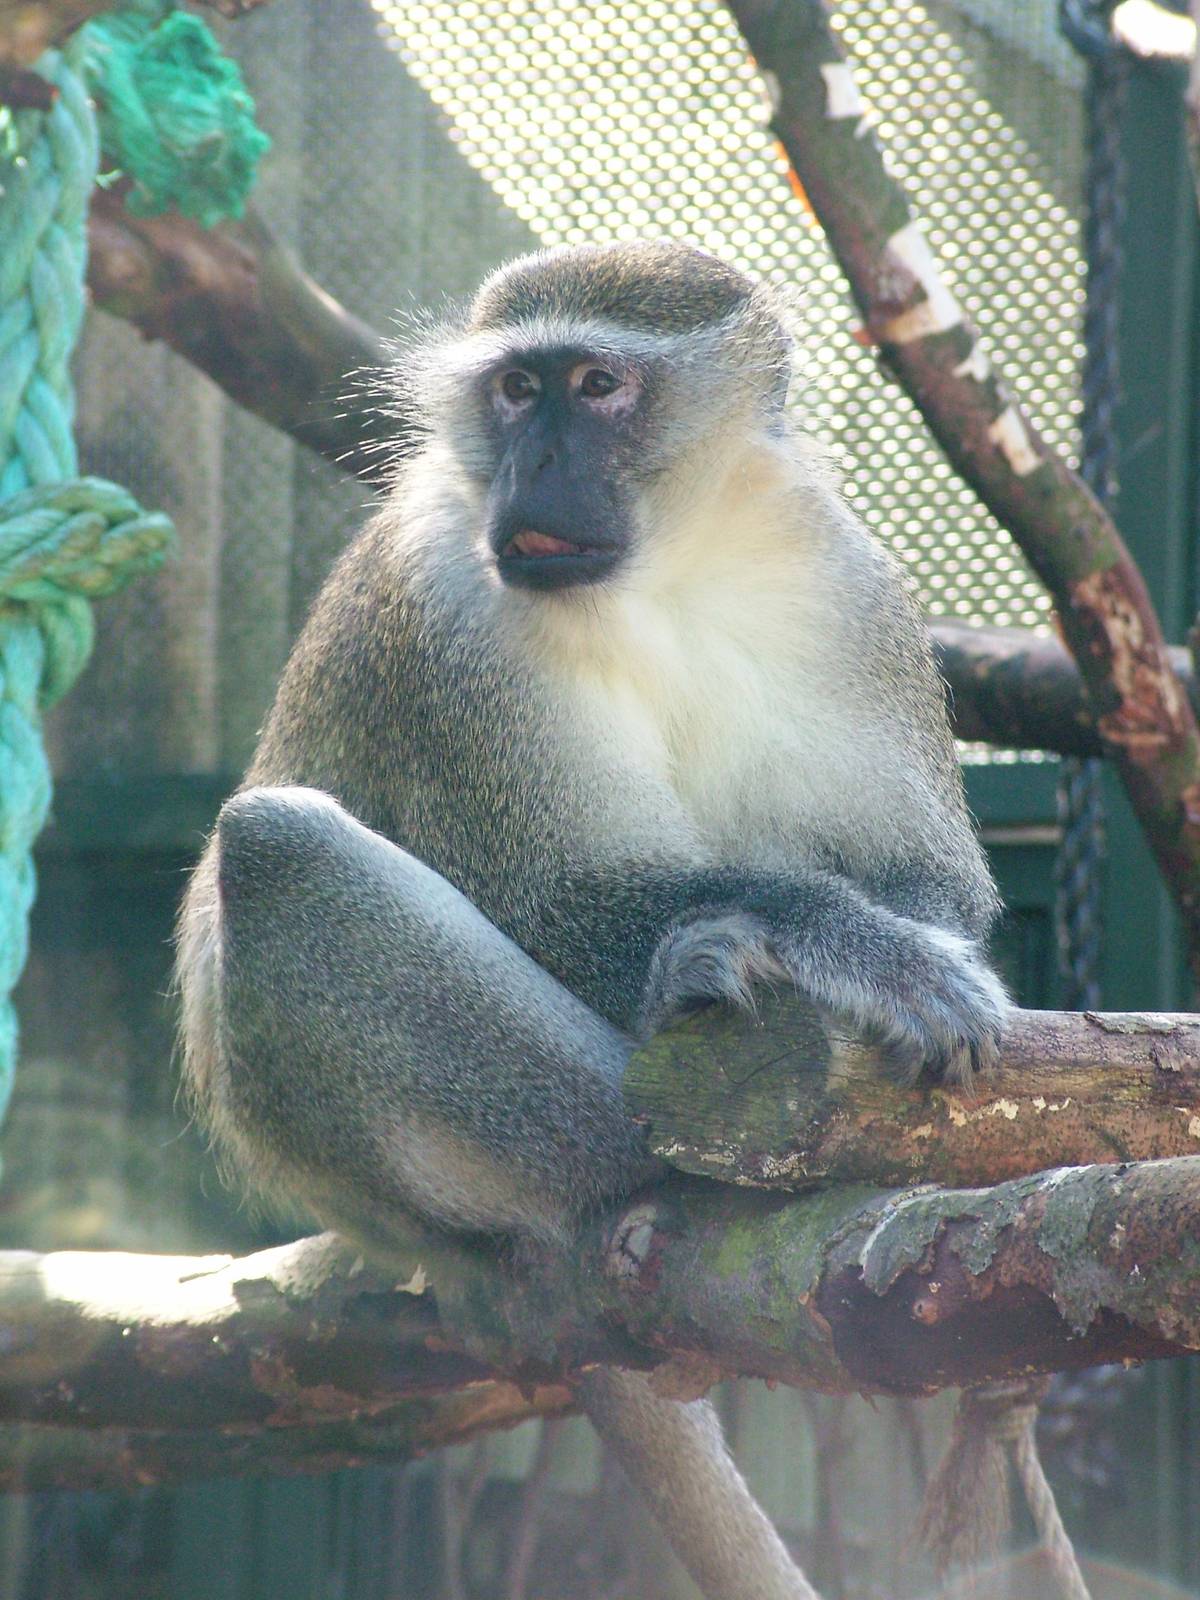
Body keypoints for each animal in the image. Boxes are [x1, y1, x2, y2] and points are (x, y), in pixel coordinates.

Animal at [177, 239, 1009, 1600]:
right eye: (518, 389)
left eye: (599, 384)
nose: (535, 468)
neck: (665, 566)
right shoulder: (451, 611)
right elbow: (557, 896)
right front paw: (858, 952)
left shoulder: (847, 582)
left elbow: (924, 871)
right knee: (281, 856)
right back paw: (682, 1137)